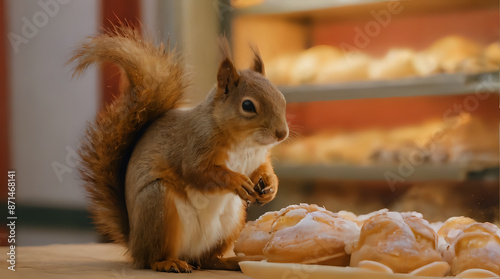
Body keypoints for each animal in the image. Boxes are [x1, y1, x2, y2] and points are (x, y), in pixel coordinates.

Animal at [70, 26, 290, 274]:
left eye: (281, 97)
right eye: (248, 106)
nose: (282, 133)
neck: (245, 143)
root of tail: (134, 242)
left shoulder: (257, 159)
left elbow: (263, 170)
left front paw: (271, 186)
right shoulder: (193, 146)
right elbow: (198, 172)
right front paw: (236, 181)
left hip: (232, 222)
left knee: (206, 259)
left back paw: (227, 261)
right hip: (158, 207)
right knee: (152, 257)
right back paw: (168, 262)